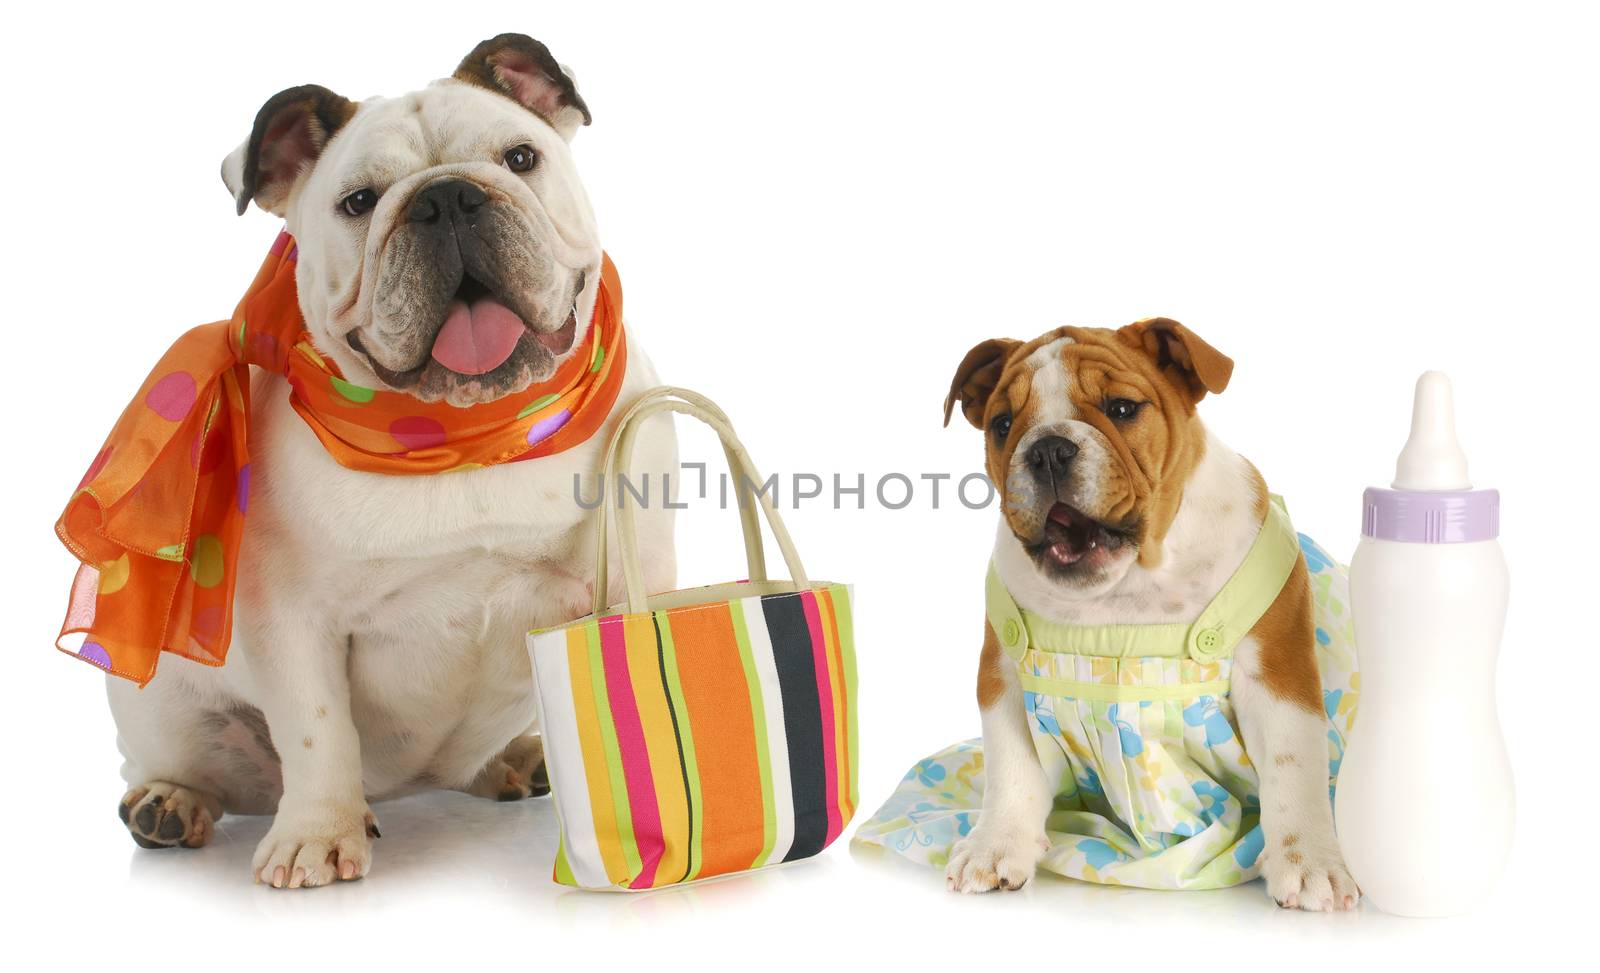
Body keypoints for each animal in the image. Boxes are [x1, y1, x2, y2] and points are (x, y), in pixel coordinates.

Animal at [109, 34, 675, 889]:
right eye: (358, 202)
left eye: (521, 158)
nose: (447, 198)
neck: (467, 431)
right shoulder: (292, 623)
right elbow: (317, 732)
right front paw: (316, 834)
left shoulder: (628, 575)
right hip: (158, 707)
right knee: (185, 765)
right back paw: (170, 803)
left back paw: (513, 761)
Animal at [940, 323, 1356, 908]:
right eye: (1002, 424)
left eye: (1121, 408)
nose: (1047, 449)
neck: (1130, 582)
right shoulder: (1005, 674)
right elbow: (1011, 767)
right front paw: (995, 846)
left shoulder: (1279, 676)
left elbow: (1292, 766)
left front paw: (1311, 863)